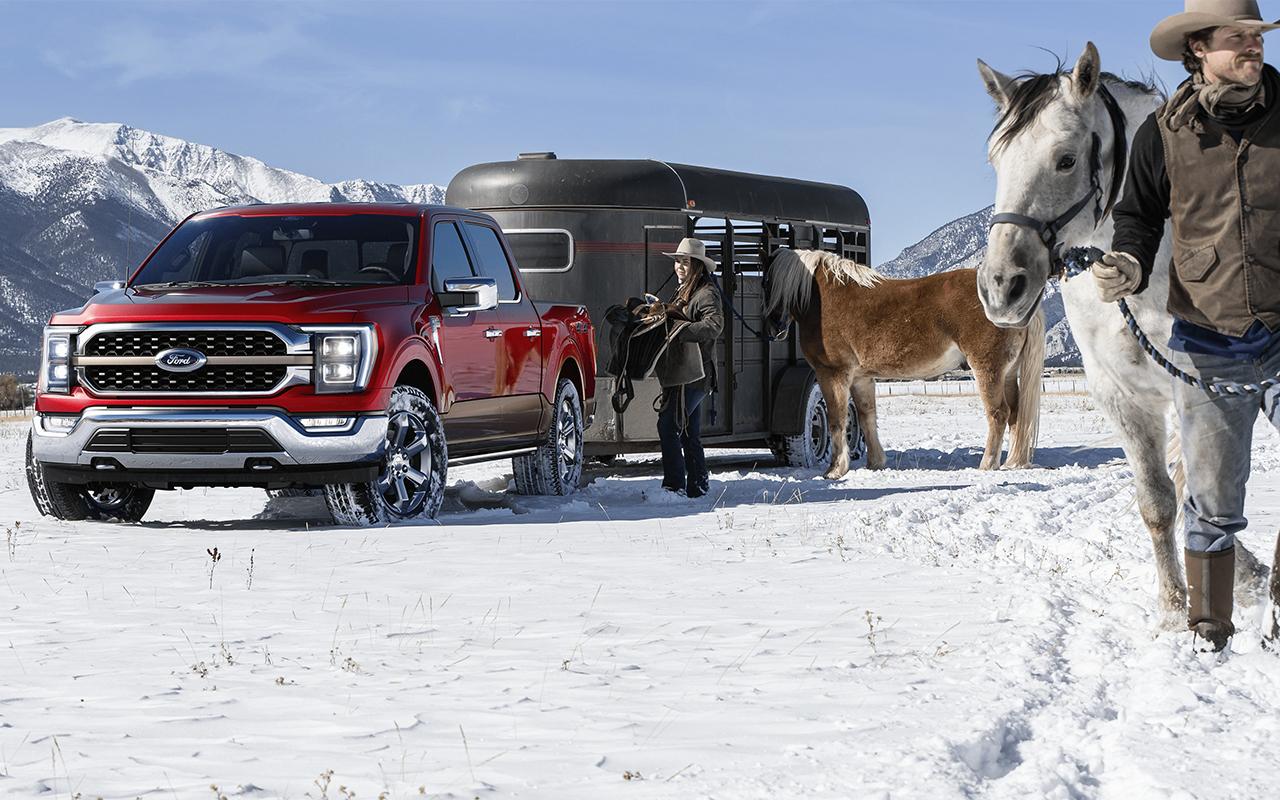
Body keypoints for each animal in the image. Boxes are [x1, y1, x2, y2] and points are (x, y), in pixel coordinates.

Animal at [762, 249, 1044, 473]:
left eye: (766, 281)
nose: (774, 328)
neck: (827, 299)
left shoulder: (832, 373)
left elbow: (837, 420)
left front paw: (835, 470)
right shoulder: (862, 377)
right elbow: (867, 416)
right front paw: (875, 463)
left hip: (988, 369)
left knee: (998, 414)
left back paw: (987, 464)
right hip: (1009, 373)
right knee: (1015, 415)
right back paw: (1012, 462)